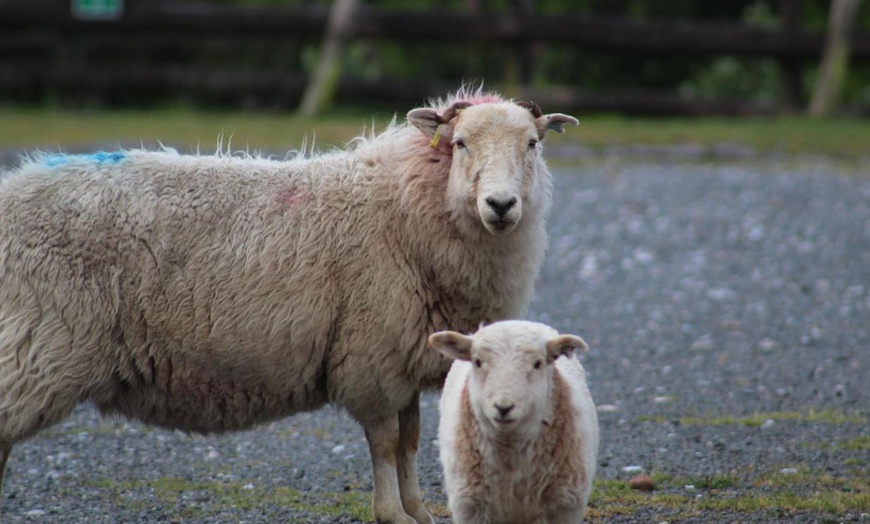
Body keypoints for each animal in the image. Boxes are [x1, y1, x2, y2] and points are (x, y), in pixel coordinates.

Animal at [0, 88, 580, 520]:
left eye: (533, 144)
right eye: (459, 143)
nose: (501, 205)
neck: (401, 206)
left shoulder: (403, 355)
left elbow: (411, 440)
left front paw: (417, 510)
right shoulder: (371, 356)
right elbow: (386, 442)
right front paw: (392, 512)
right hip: (30, 348)